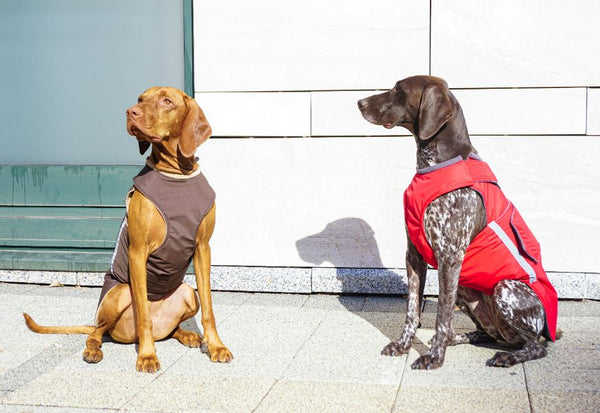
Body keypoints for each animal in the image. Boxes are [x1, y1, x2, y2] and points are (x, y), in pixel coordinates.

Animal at [23, 86, 231, 370]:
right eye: (140, 99)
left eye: (167, 101)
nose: (130, 112)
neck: (176, 173)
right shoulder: (138, 252)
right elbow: (143, 314)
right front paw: (147, 355)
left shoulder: (202, 248)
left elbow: (210, 308)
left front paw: (216, 346)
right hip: (120, 294)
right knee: (97, 331)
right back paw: (93, 350)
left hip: (188, 292)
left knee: (171, 327)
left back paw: (187, 334)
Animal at [356, 75, 556, 368]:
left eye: (398, 89)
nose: (360, 102)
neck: (435, 163)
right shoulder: (414, 256)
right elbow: (412, 310)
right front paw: (404, 345)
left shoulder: (449, 258)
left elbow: (442, 314)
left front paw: (434, 357)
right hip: (466, 286)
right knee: (487, 334)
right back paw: (458, 338)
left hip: (505, 288)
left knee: (534, 346)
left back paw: (506, 356)